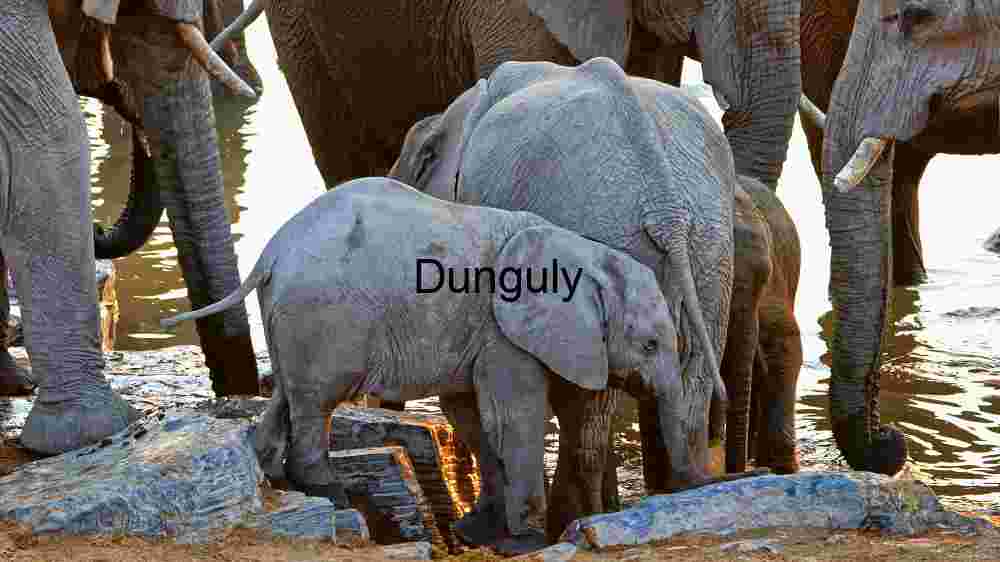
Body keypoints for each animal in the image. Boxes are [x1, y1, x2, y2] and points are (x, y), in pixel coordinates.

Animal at [158, 175, 728, 555]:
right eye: (650, 345)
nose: (697, 483)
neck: (583, 252)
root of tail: (269, 255)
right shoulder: (504, 331)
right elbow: (513, 418)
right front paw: (526, 542)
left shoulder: (476, 332)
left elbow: (472, 416)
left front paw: (478, 534)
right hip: (325, 321)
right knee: (316, 404)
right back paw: (332, 495)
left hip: (296, 322)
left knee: (286, 398)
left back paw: (280, 479)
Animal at [389, 57, 741, 535]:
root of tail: (666, 207)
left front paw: (477, 530)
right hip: (711, 251)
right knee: (688, 382)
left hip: (609, 229)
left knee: (588, 406)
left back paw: (578, 517)